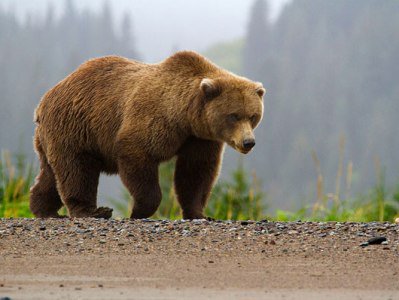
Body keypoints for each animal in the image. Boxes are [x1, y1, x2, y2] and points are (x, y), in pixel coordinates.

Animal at [29, 51, 268, 218]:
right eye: (233, 116)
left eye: (253, 116)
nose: (248, 142)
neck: (185, 116)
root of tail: (44, 100)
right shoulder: (154, 118)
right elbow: (137, 154)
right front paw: (138, 211)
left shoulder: (199, 138)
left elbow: (196, 172)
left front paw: (199, 213)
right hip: (75, 127)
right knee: (77, 170)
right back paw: (92, 211)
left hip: (54, 136)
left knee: (51, 173)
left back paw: (44, 209)